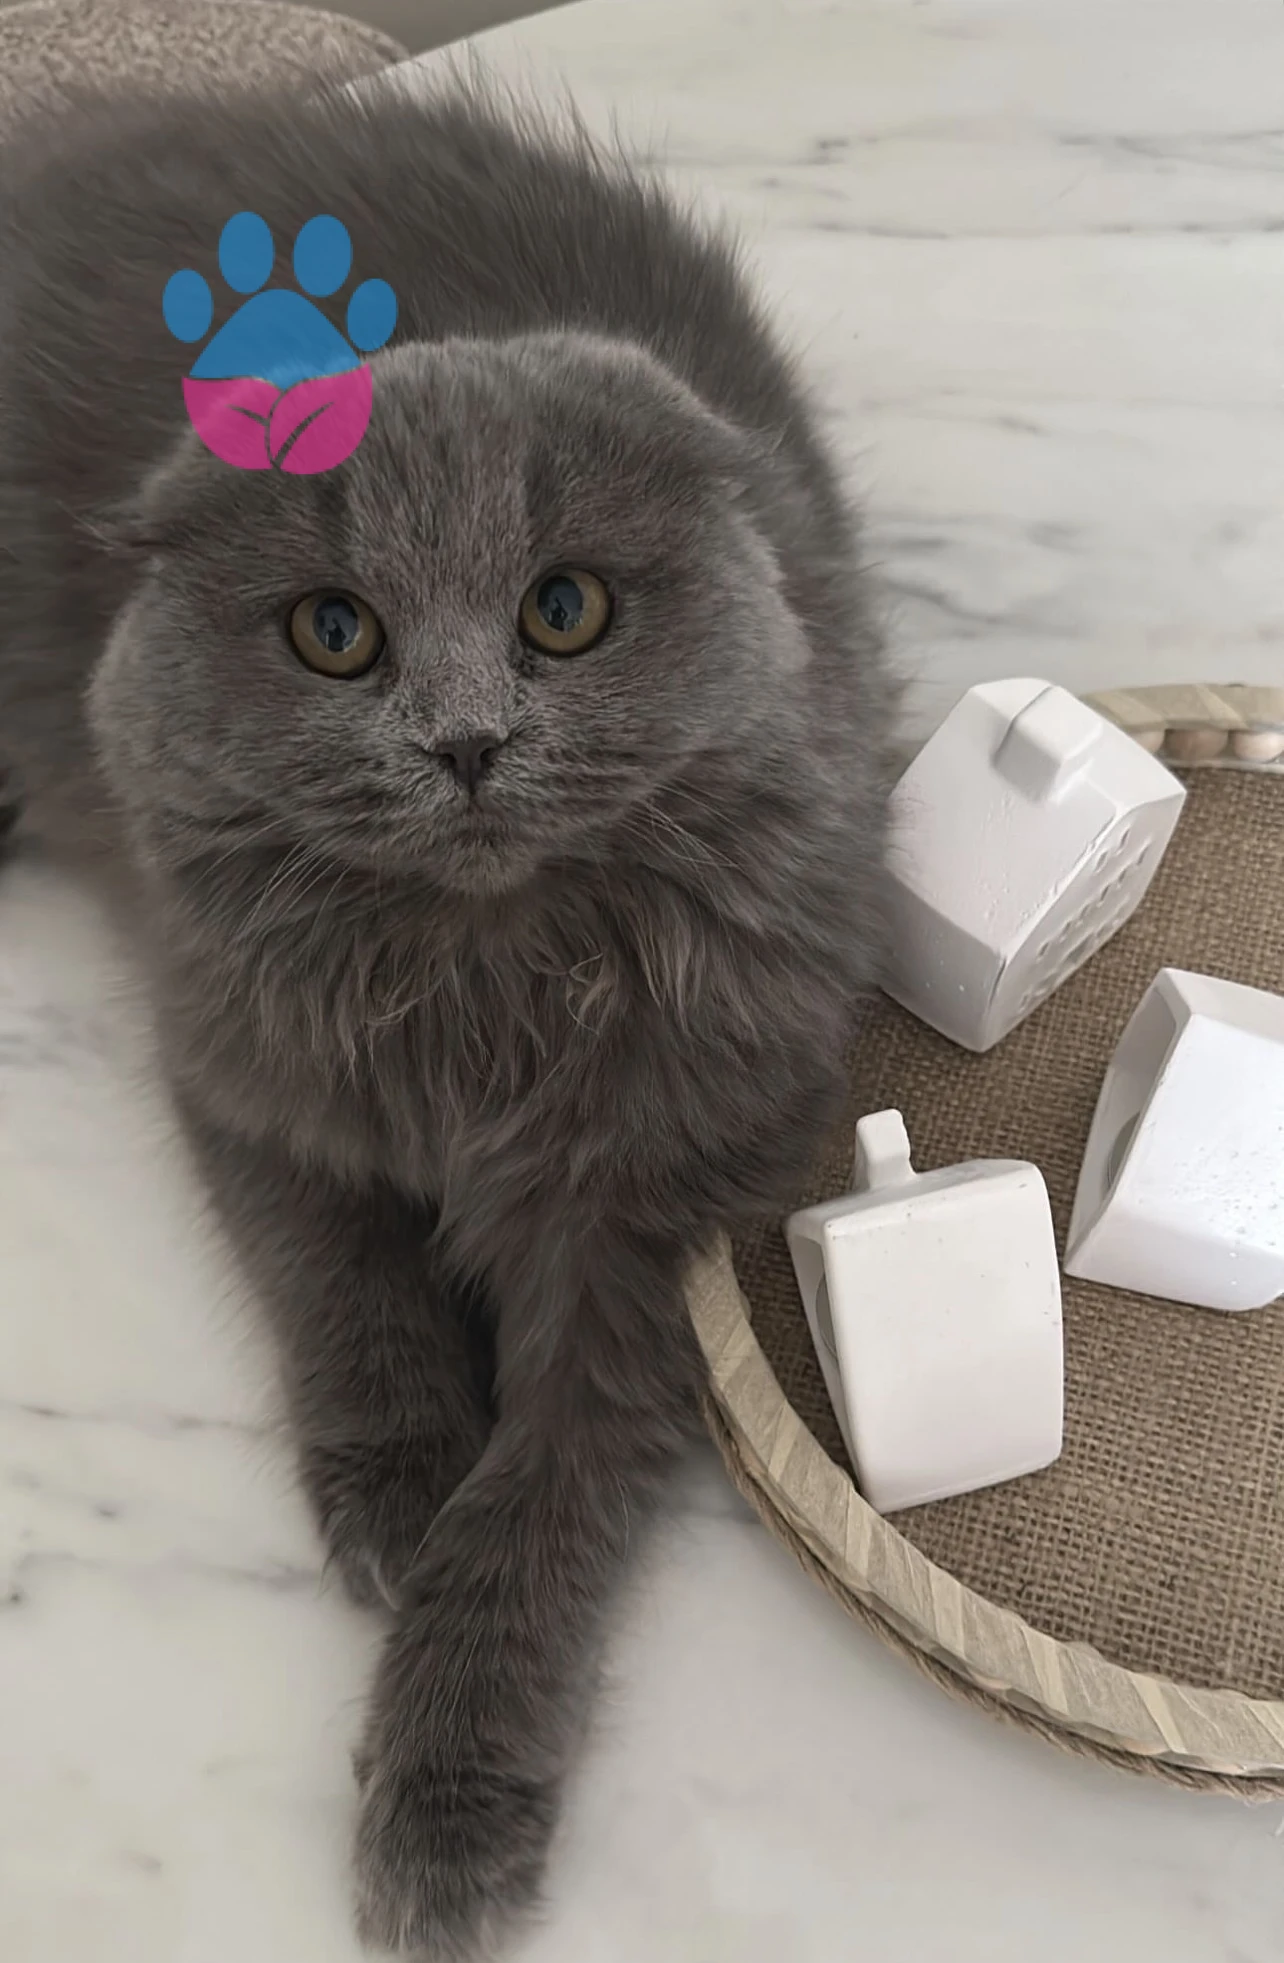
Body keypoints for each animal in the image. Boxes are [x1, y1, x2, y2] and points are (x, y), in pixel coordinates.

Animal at [0, 70, 894, 1957]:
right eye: (334, 635)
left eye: (564, 610)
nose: (466, 740)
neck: (477, 986)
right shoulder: (248, 1067)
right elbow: (338, 1285)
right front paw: (400, 1485)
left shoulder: (651, 1208)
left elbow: (533, 1522)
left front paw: (447, 1805)